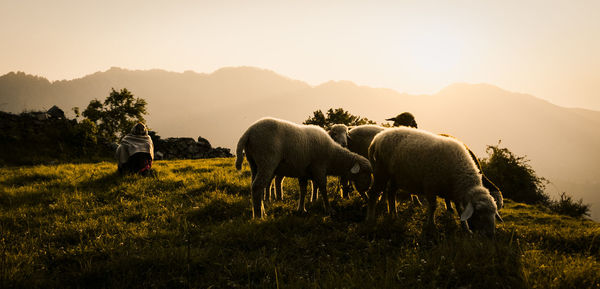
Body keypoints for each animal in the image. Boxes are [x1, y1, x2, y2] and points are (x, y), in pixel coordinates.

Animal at [233, 116, 370, 217]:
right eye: (365, 173)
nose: (368, 189)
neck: (333, 156)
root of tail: (249, 131)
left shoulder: (303, 172)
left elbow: (303, 190)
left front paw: (301, 209)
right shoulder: (319, 167)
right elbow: (323, 187)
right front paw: (329, 209)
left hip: (254, 163)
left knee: (255, 186)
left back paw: (262, 211)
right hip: (267, 161)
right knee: (257, 187)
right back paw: (258, 216)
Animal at [366, 127, 502, 235]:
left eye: (493, 214)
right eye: (478, 214)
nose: (490, 235)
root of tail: (377, 139)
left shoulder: (455, 194)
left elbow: (460, 211)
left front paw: (466, 230)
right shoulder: (430, 186)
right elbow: (433, 206)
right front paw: (431, 226)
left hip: (396, 176)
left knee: (391, 194)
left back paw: (394, 215)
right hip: (381, 171)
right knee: (373, 193)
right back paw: (371, 219)